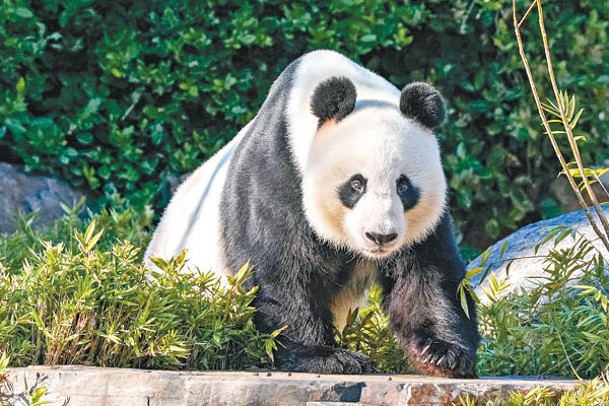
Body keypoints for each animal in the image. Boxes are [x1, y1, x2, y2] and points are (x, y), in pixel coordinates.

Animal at [145, 50, 478, 378]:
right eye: (356, 184)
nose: (380, 236)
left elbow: (427, 272)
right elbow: (281, 269)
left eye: (404, 185)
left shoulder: (420, 222)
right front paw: (328, 357)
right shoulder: (278, 170)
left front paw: (441, 353)